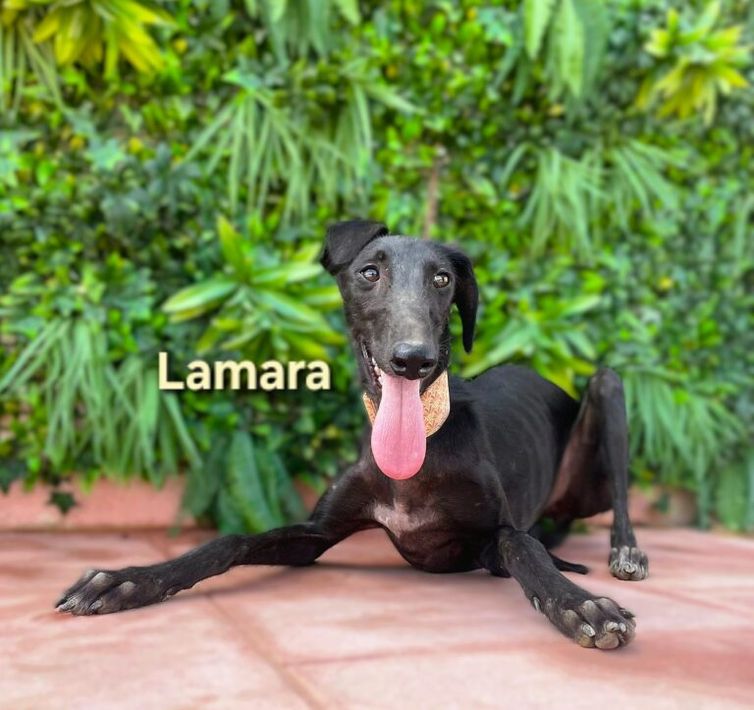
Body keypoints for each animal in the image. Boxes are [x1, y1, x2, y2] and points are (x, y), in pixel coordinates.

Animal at [56, 220, 648, 650]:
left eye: (442, 280)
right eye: (368, 273)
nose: (413, 359)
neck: (419, 450)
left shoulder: (488, 542)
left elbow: (520, 546)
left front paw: (577, 603)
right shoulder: (316, 534)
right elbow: (231, 541)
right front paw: (131, 580)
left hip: (606, 391)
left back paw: (626, 553)